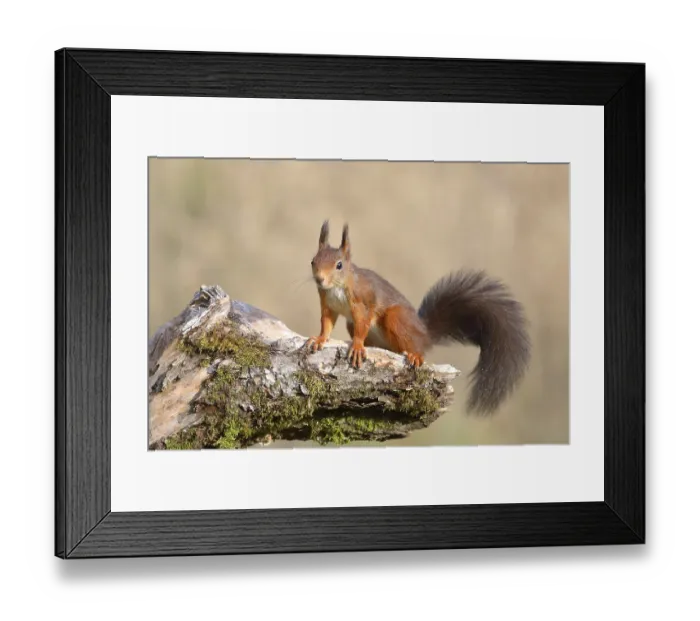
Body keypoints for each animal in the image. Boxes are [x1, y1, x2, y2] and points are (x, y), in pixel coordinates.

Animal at [303, 220, 532, 414]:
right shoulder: (327, 304)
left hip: (396, 318)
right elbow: (326, 324)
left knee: (416, 347)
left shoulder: (363, 302)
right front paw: (319, 339)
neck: (336, 287)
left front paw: (358, 346)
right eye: (313, 261)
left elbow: (363, 324)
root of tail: (425, 333)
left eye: (339, 265)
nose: (319, 279)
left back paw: (415, 355)